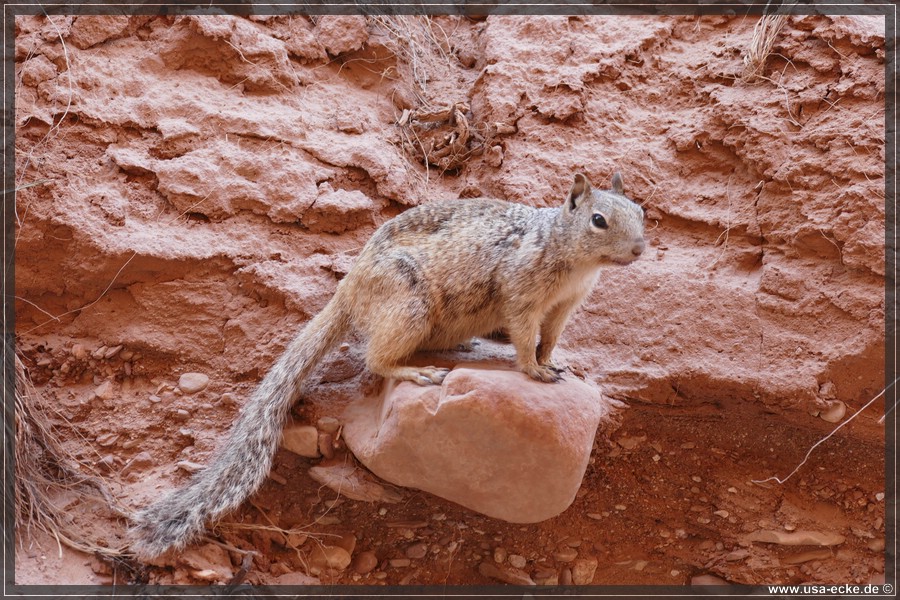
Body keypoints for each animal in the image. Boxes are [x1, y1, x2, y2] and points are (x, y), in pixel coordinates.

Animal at [128, 171, 648, 560]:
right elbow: (523, 336)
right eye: (599, 220)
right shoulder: (522, 295)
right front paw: (533, 369)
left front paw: (554, 362)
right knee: (375, 360)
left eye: (641, 212)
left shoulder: (565, 307)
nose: (641, 249)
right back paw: (415, 371)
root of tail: (349, 288)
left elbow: (551, 339)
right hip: (408, 306)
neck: (568, 252)